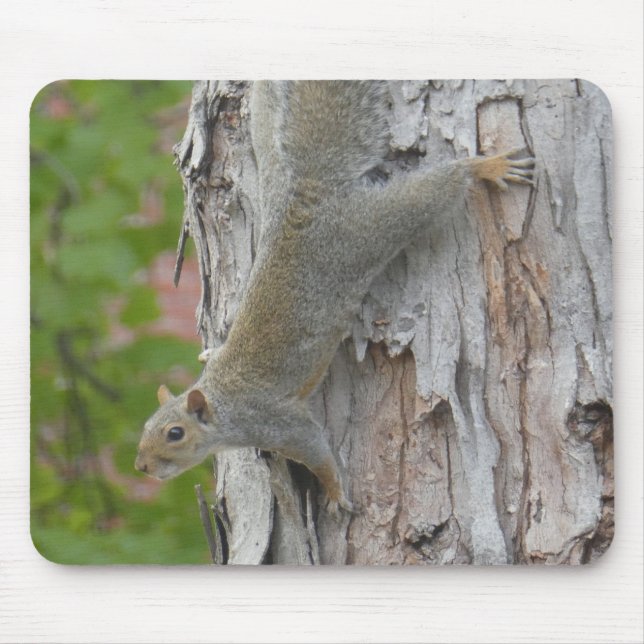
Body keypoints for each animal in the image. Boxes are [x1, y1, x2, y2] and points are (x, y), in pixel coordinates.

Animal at [134, 81, 535, 513]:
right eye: (146, 425)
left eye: (175, 433)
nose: (142, 466)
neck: (222, 401)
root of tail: (312, 191)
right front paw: (209, 350)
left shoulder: (278, 424)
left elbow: (318, 452)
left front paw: (336, 493)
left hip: (374, 226)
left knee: (438, 188)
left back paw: (485, 167)